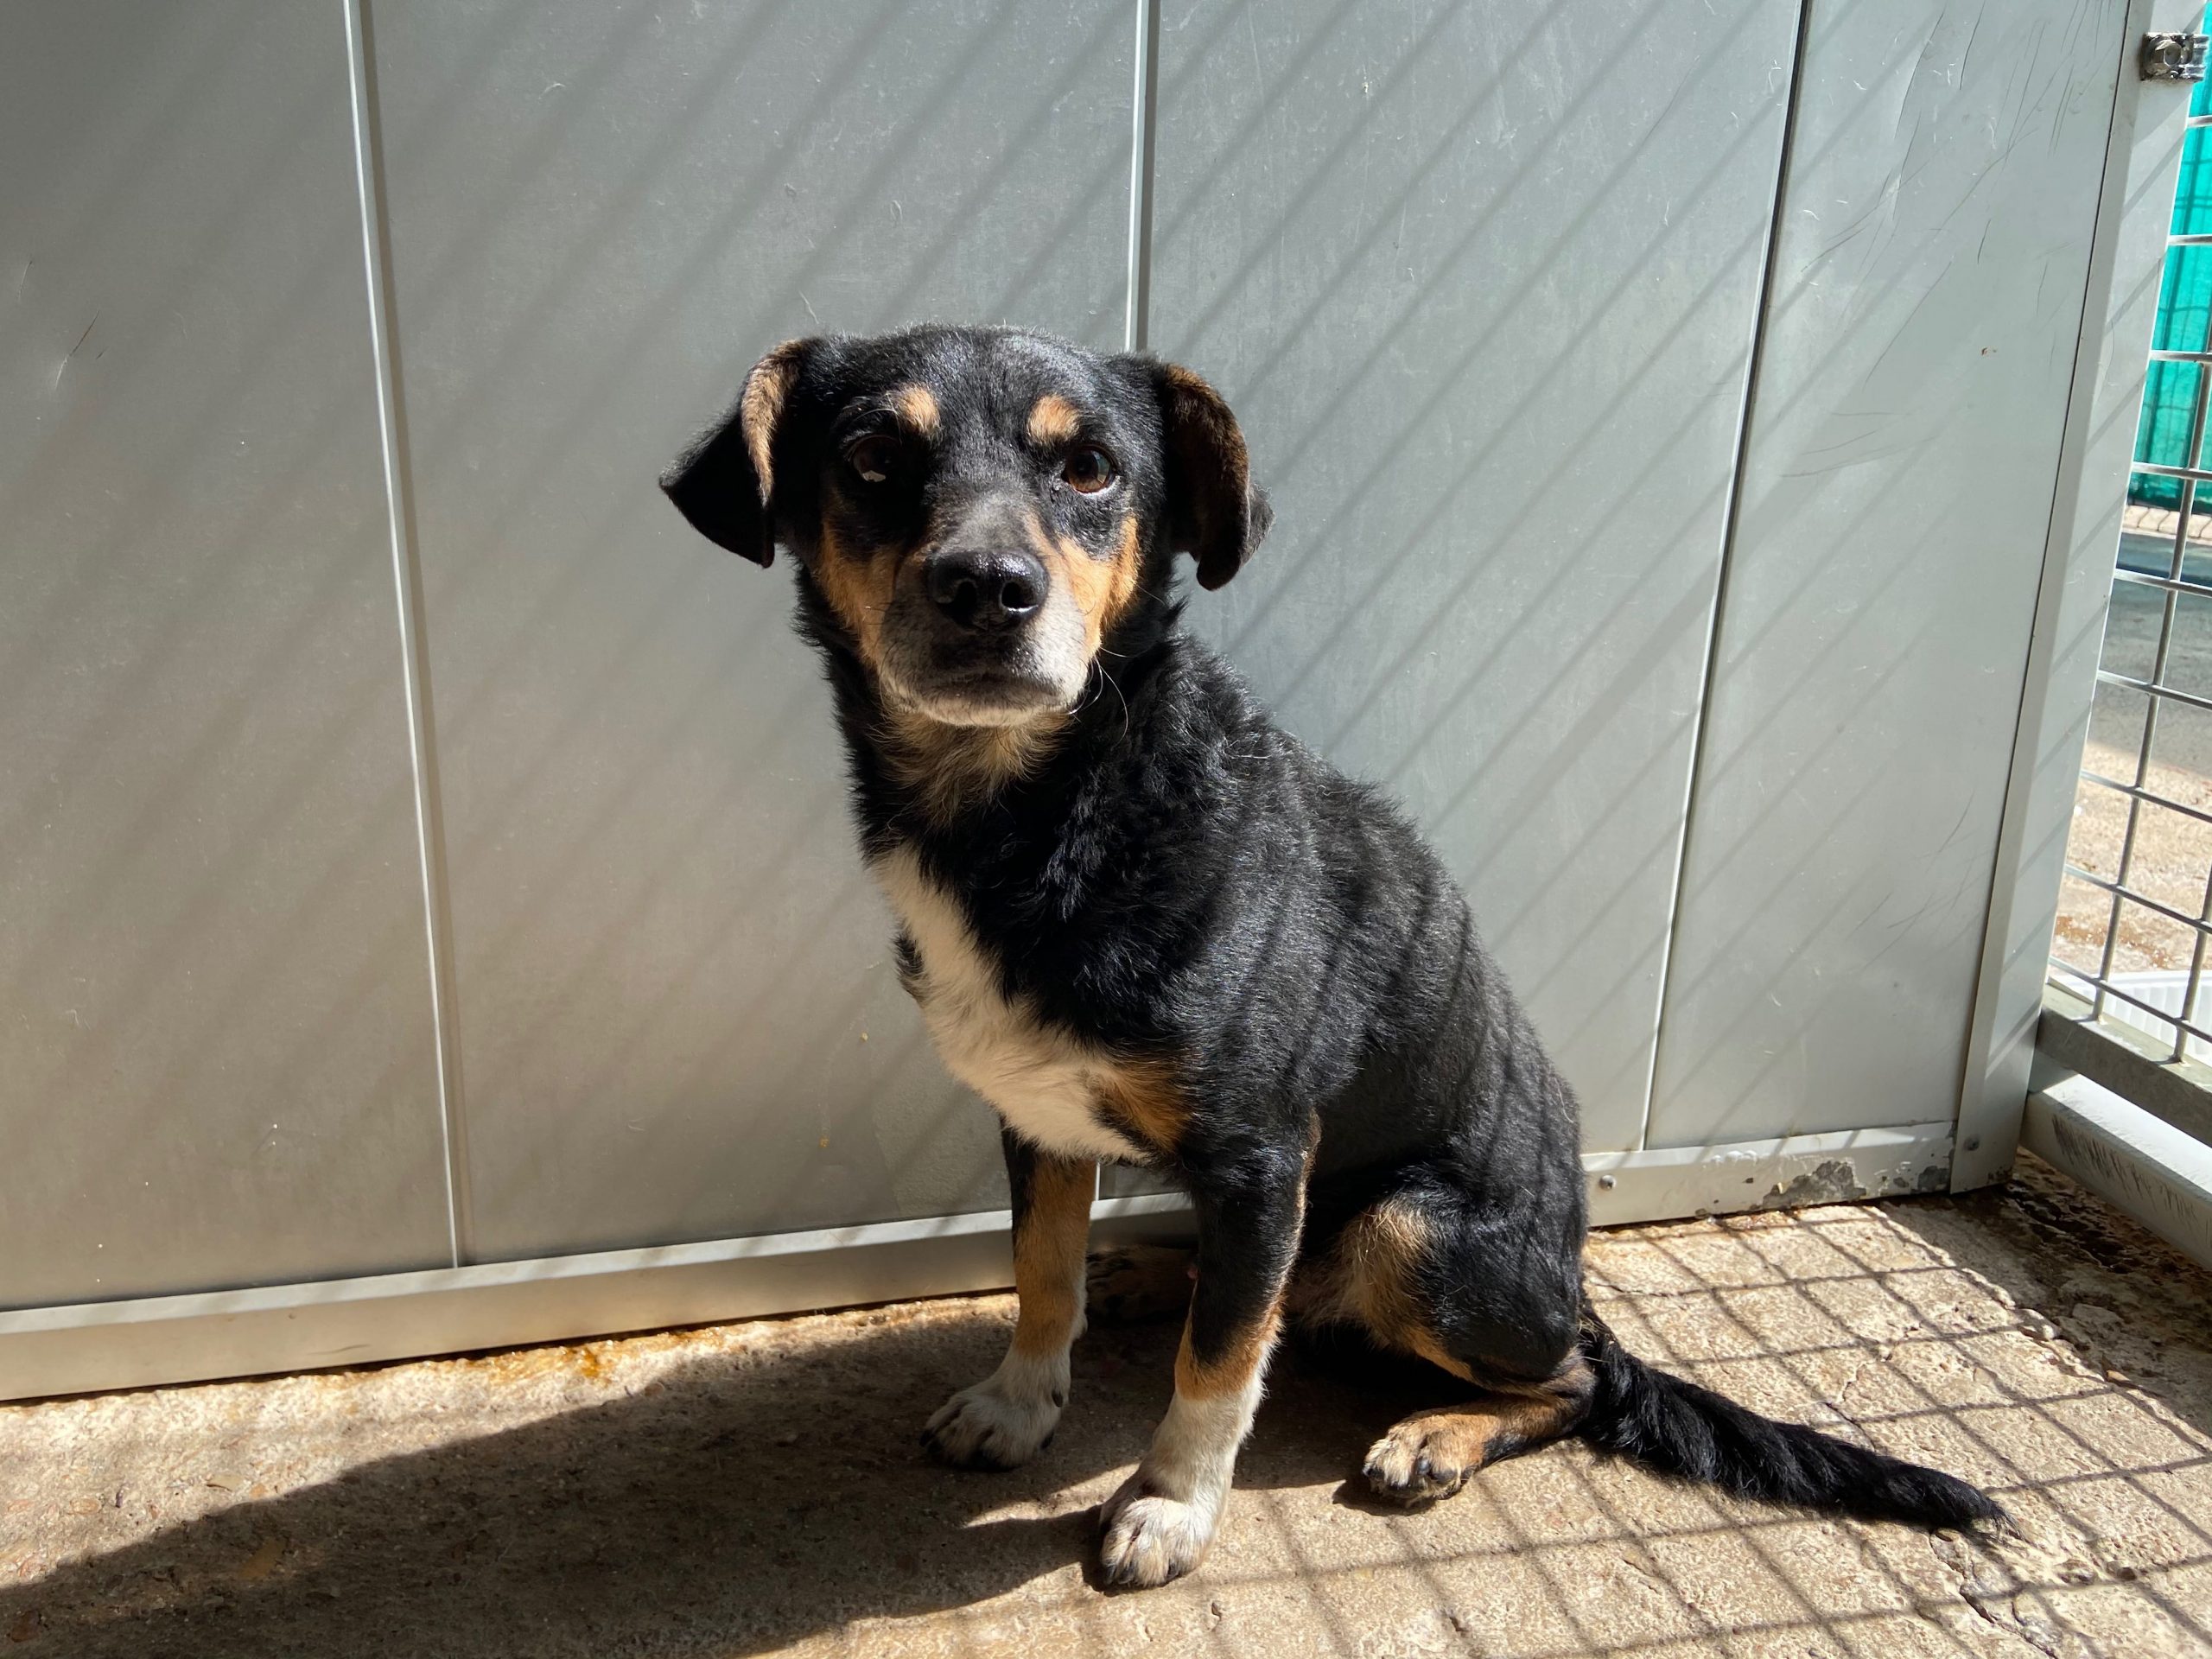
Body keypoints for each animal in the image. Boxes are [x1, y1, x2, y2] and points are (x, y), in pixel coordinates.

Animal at [660, 325, 2002, 1587]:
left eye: (1090, 467)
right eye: (872, 459)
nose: (987, 589)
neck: (1052, 814)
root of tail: (1575, 1281)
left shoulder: (1263, 1151)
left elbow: (1215, 1371)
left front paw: (1169, 1506)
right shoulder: (1038, 1121)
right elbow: (1042, 1274)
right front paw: (1020, 1402)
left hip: (1410, 1233)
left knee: (1566, 1381)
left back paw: (1435, 1432)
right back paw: (1146, 1275)